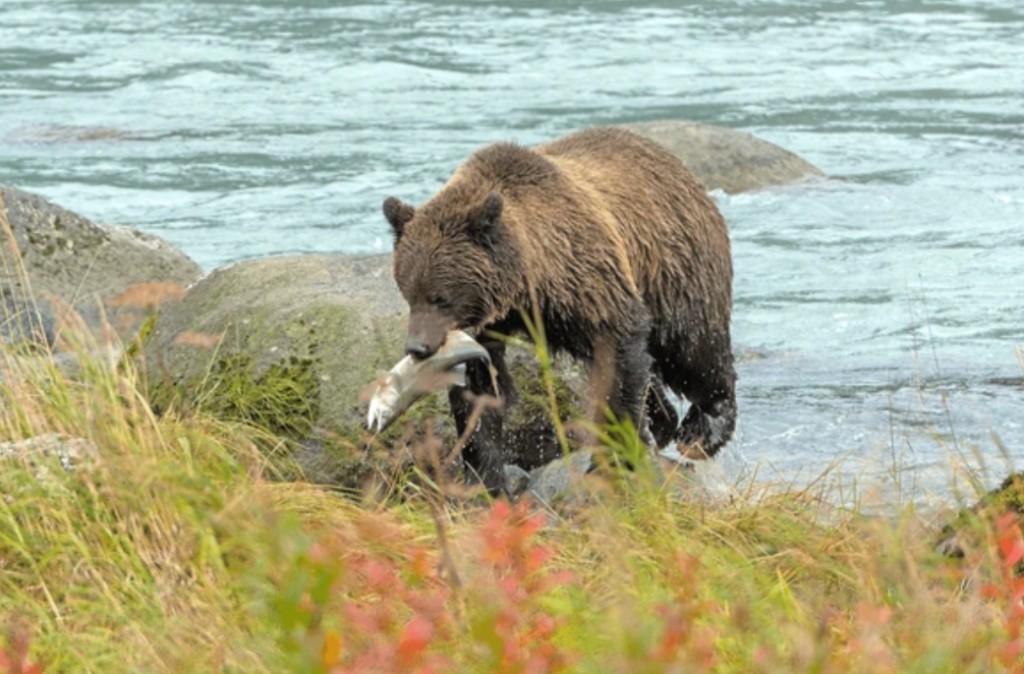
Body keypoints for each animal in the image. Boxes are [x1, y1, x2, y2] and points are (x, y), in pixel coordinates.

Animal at [382, 126, 736, 493]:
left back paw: (703, 429)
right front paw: (485, 478)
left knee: (692, 349)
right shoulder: (492, 328)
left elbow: (620, 347)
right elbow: (482, 393)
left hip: (675, 268)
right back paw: (663, 419)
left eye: (440, 298)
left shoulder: (587, 280)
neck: (528, 282)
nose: (418, 347)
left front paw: (613, 456)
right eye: (409, 293)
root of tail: (682, 169)